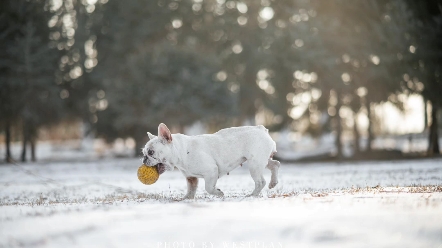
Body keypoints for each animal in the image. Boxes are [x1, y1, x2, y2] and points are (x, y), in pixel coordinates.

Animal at [142, 123, 280, 199]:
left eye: (151, 152)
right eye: (144, 153)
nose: (144, 159)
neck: (181, 151)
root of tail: (261, 129)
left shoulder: (211, 171)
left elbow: (208, 188)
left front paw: (219, 193)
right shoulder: (191, 178)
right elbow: (191, 189)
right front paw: (186, 198)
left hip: (254, 165)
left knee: (260, 182)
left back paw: (252, 195)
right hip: (262, 161)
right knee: (275, 164)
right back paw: (273, 183)